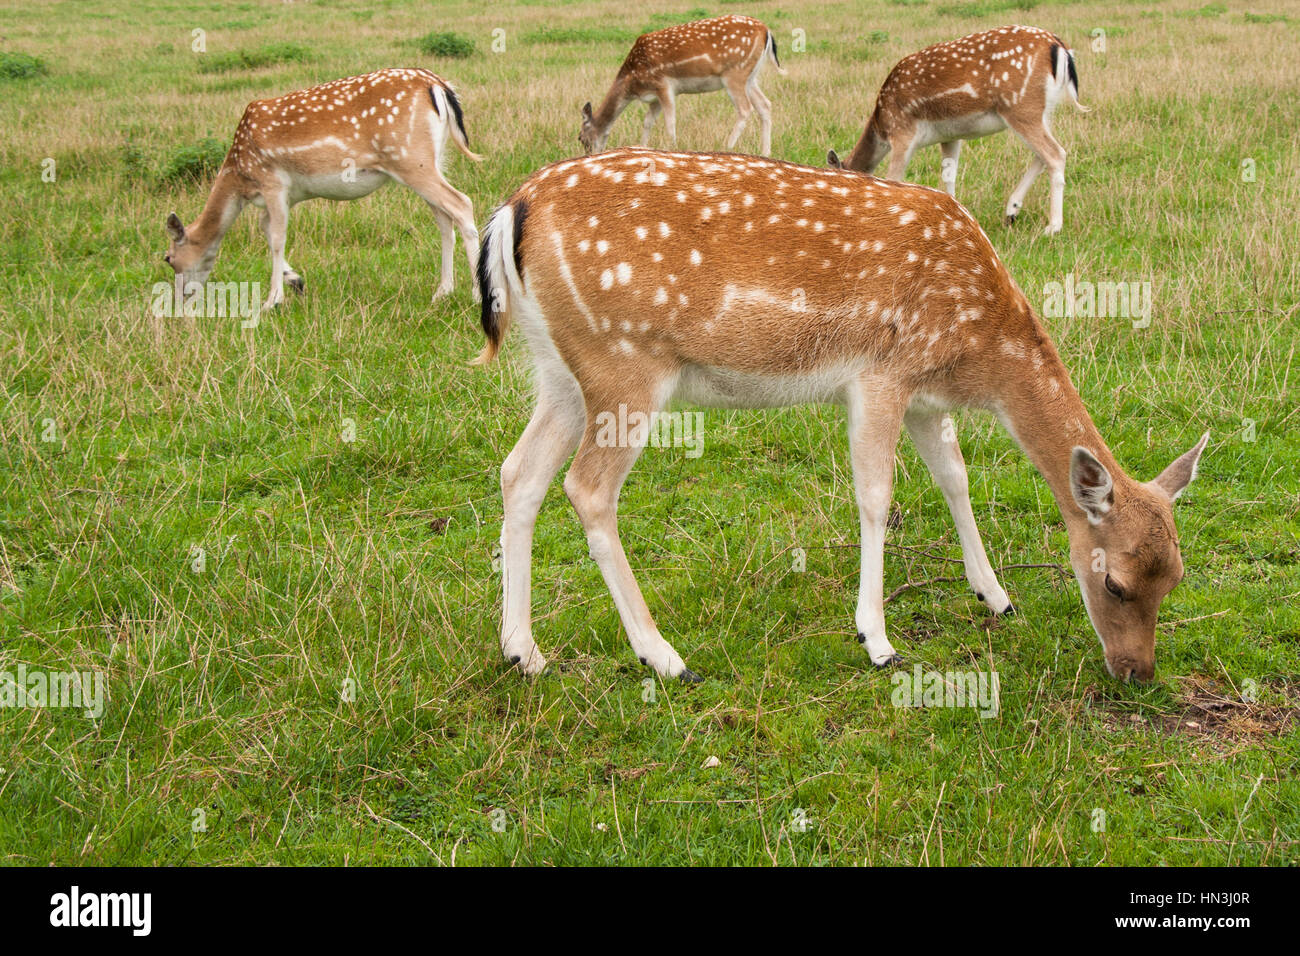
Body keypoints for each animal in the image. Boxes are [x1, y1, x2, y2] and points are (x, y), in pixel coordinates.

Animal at [165, 68, 483, 314]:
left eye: (168, 259)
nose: (179, 300)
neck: (240, 177)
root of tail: (438, 86)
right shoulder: (286, 195)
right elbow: (266, 228)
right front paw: (295, 281)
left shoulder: (272, 181)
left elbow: (277, 237)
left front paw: (272, 301)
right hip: (431, 160)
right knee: (443, 218)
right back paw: (442, 292)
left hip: (410, 159)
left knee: (462, 203)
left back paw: (478, 294)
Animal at [470, 147, 1206, 686]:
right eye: (1113, 583)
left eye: (1175, 577)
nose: (1137, 672)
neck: (979, 350)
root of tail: (511, 212)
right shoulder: (882, 374)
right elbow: (878, 496)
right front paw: (876, 639)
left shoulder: (926, 398)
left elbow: (955, 478)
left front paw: (994, 595)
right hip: (625, 362)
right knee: (587, 488)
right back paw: (665, 656)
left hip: (562, 373)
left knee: (519, 472)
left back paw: (523, 652)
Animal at [582, 13, 785, 156]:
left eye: (581, 138)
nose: (589, 155)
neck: (632, 83)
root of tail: (766, 31)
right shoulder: (654, 97)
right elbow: (648, 122)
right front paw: (641, 147)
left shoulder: (662, 84)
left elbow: (670, 122)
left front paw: (672, 148)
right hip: (750, 77)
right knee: (765, 104)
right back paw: (766, 152)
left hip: (734, 72)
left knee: (745, 108)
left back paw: (727, 146)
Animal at [826, 25, 1092, 235]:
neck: (881, 125)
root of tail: (1059, 47)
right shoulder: (950, 136)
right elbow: (949, 177)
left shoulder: (903, 131)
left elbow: (894, 179)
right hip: (1043, 110)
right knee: (1044, 154)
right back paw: (1012, 211)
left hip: (1020, 106)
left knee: (1055, 154)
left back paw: (1053, 226)